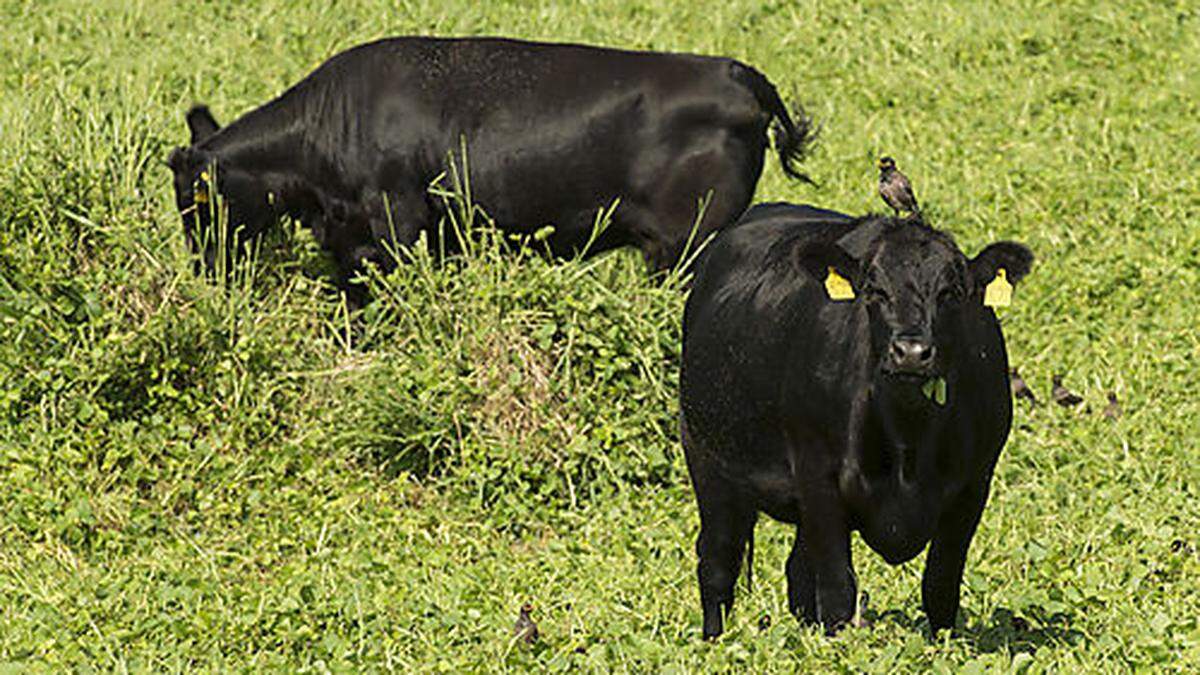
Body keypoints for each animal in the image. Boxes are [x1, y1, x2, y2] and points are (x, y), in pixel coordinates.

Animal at [166, 36, 816, 296]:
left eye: (196, 203)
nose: (205, 273)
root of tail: (734, 71)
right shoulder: (353, 244)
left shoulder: (398, 220)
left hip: (686, 245)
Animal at [681, 200, 1036, 634]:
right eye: (874, 290)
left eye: (950, 293)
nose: (911, 352)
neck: (908, 441)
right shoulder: (818, 475)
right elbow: (838, 590)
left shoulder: (974, 485)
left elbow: (940, 586)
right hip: (707, 459)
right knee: (718, 562)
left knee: (797, 571)